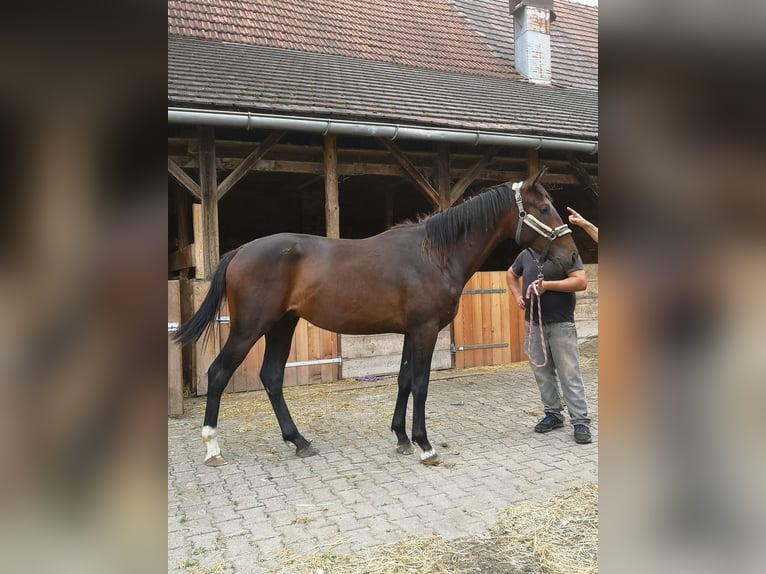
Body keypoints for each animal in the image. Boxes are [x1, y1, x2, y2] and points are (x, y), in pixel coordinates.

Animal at [176, 170, 584, 468]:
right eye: (544, 208)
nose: (573, 258)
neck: (434, 253)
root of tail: (240, 251)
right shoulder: (425, 330)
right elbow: (420, 383)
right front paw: (424, 445)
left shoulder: (409, 332)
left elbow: (403, 381)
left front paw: (402, 438)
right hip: (249, 328)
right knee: (218, 373)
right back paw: (213, 447)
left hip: (282, 325)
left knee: (272, 377)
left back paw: (299, 440)